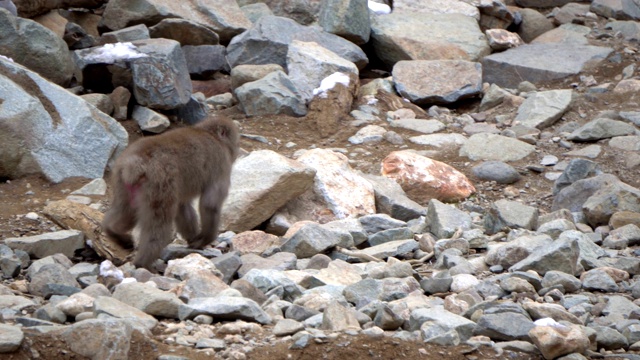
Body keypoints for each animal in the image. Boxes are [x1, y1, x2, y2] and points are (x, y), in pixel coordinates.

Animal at [102, 115, 240, 270]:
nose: (236, 151)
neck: (211, 134)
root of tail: (134, 164)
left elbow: (182, 206)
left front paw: (193, 239)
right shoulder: (222, 164)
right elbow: (210, 204)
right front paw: (204, 239)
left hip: (122, 181)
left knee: (126, 211)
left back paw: (115, 232)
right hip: (159, 184)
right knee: (159, 223)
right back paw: (143, 262)